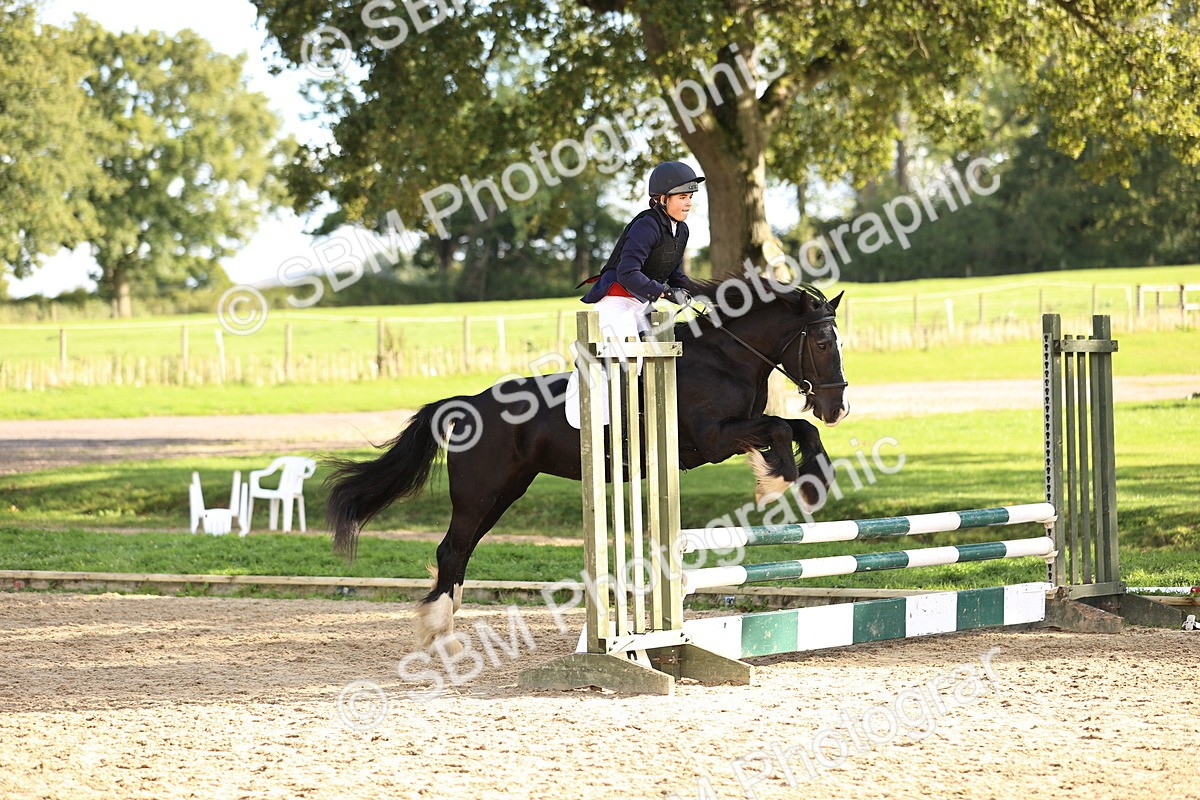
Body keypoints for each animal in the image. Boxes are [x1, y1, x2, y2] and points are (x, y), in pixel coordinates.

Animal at [324, 280, 849, 651]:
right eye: (823, 344)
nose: (837, 408)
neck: (727, 357)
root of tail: (468, 404)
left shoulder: (736, 430)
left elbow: (799, 429)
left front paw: (813, 482)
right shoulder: (714, 438)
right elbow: (779, 430)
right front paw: (777, 481)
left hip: (506, 492)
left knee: (460, 550)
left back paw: (442, 628)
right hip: (480, 494)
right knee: (452, 550)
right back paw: (443, 636)